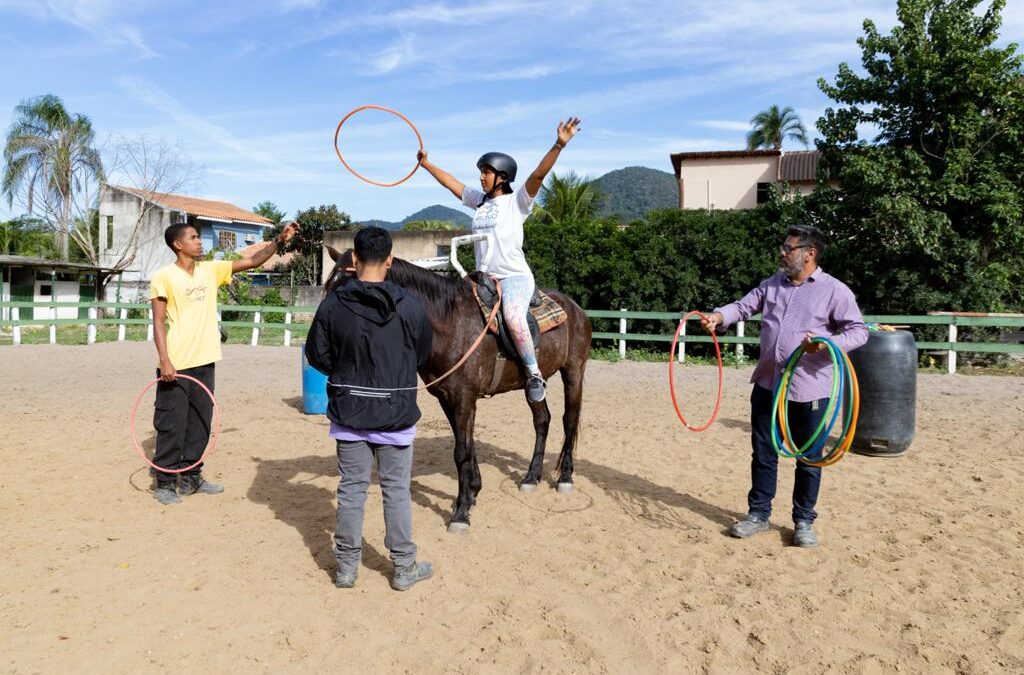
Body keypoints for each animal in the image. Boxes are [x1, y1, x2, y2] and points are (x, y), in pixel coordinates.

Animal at [323, 247, 589, 532]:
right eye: (328, 286)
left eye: (355, 293)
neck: (450, 323)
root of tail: (575, 308)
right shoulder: (448, 398)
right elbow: (468, 446)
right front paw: (473, 493)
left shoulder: (463, 397)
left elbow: (461, 451)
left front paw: (460, 513)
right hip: (532, 383)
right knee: (542, 420)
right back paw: (531, 477)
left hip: (574, 372)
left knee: (569, 420)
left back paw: (565, 477)